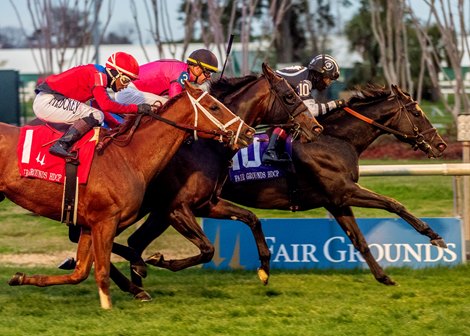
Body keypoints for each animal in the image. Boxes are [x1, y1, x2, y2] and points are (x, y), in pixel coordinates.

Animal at [0, 82, 258, 310]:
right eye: (214, 107)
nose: (248, 131)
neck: (128, 157)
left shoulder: (89, 224)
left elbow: (80, 273)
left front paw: (21, 278)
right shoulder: (109, 220)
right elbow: (102, 268)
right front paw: (110, 305)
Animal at [123, 83, 446, 292]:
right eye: (417, 113)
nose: (441, 145)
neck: (335, 139)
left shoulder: (336, 201)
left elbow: (360, 240)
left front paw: (384, 277)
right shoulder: (344, 190)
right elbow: (394, 203)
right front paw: (434, 236)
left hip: (161, 210)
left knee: (135, 241)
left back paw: (137, 281)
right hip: (164, 207)